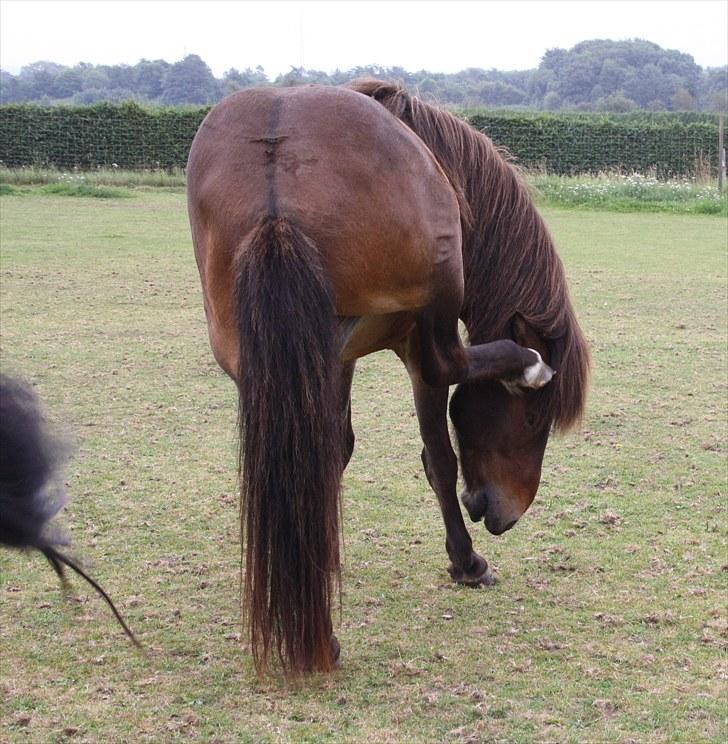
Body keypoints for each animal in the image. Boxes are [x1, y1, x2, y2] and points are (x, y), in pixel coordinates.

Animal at [185, 80, 588, 676]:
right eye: (536, 417)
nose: (506, 516)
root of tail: (278, 162)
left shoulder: (339, 356)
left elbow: (337, 450)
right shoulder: (410, 343)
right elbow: (439, 458)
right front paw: (466, 562)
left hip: (263, 351)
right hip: (429, 317)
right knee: (450, 363)